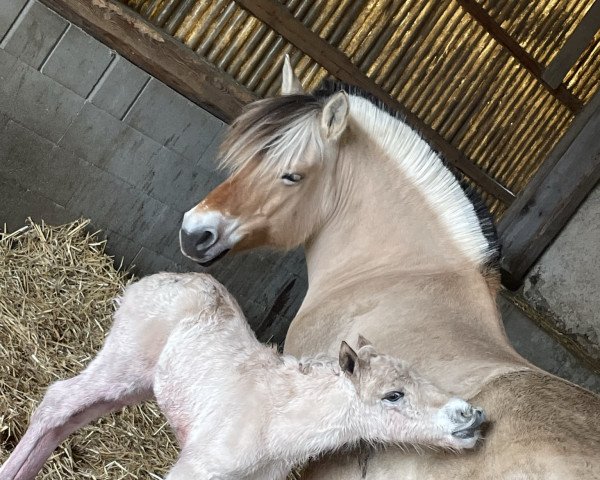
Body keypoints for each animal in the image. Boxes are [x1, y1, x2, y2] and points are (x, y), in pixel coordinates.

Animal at [1, 272, 482, 478]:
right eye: (393, 395)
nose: (470, 415)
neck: (276, 425)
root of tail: (157, 279)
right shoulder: (196, 469)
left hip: (136, 384)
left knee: (73, 416)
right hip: (124, 360)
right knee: (59, 401)